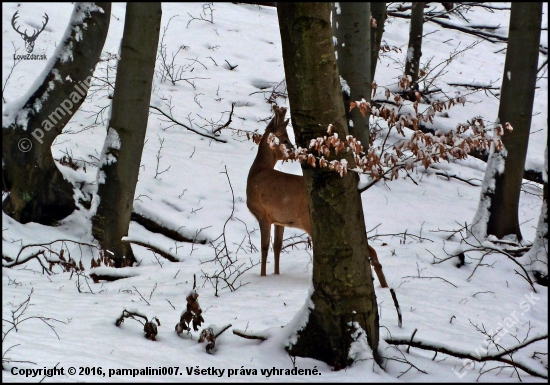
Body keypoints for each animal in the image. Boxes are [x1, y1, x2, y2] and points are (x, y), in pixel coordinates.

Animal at [248, 103, 390, 286]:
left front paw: (263, 277)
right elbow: (277, 247)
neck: (257, 172)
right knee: (367, 249)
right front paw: (276, 275)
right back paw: (383, 285)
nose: (295, 151)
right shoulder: (279, 219)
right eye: (285, 140)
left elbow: (264, 248)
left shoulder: (262, 213)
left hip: (308, 220)